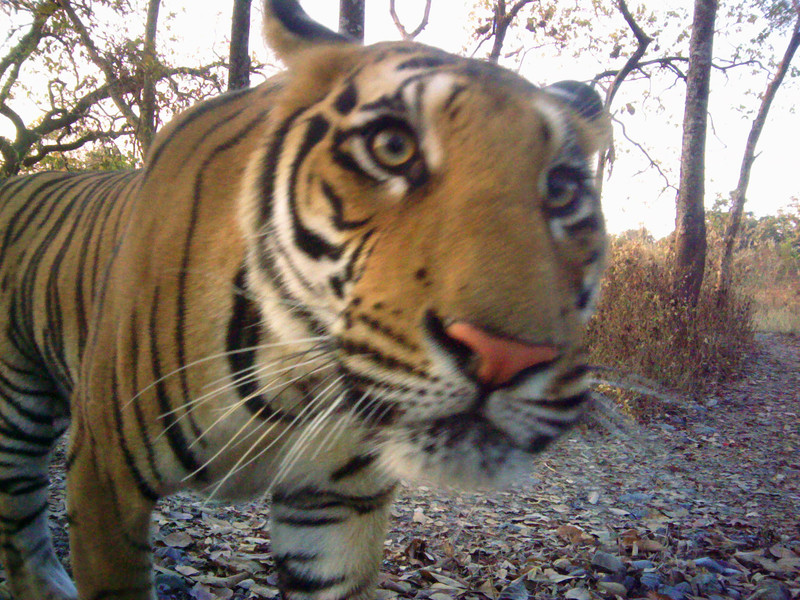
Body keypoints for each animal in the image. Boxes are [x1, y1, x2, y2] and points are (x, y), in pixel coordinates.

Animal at [0, 2, 608, 596]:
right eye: (393, 147)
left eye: (562, 189)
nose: (507, 356)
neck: (298, 388)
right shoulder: (105, 475)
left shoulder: (336, 506)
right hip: (17, 409)